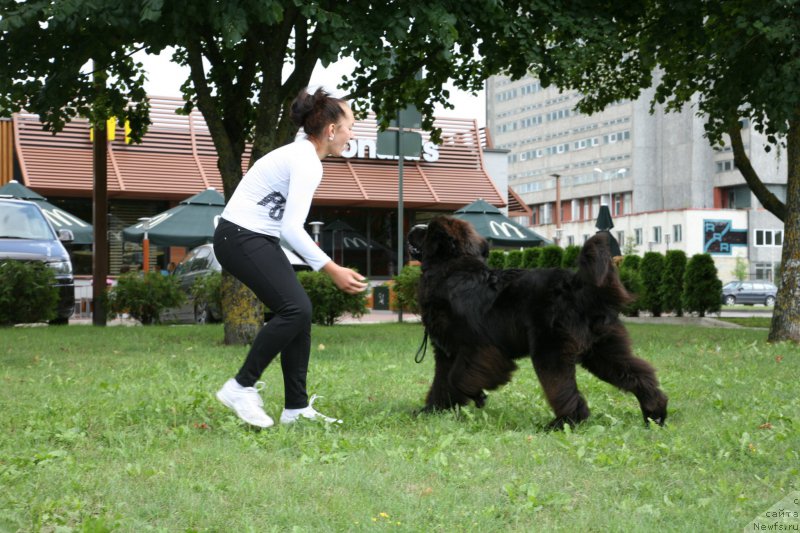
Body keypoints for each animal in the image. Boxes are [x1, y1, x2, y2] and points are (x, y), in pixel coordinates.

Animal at [410, 214, 664, 426]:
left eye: (427, 229)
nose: (413, 227)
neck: (452, 271)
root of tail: (579, 286)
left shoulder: (479, 348)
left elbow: (457, 378)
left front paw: (478, 395)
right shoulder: (446, 352)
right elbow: (442, 382)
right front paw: (434, 410)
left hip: (550, 351)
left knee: (564, 390)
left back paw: (564, 422)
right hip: (602, 351)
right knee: (639, 375)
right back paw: (655, 414)